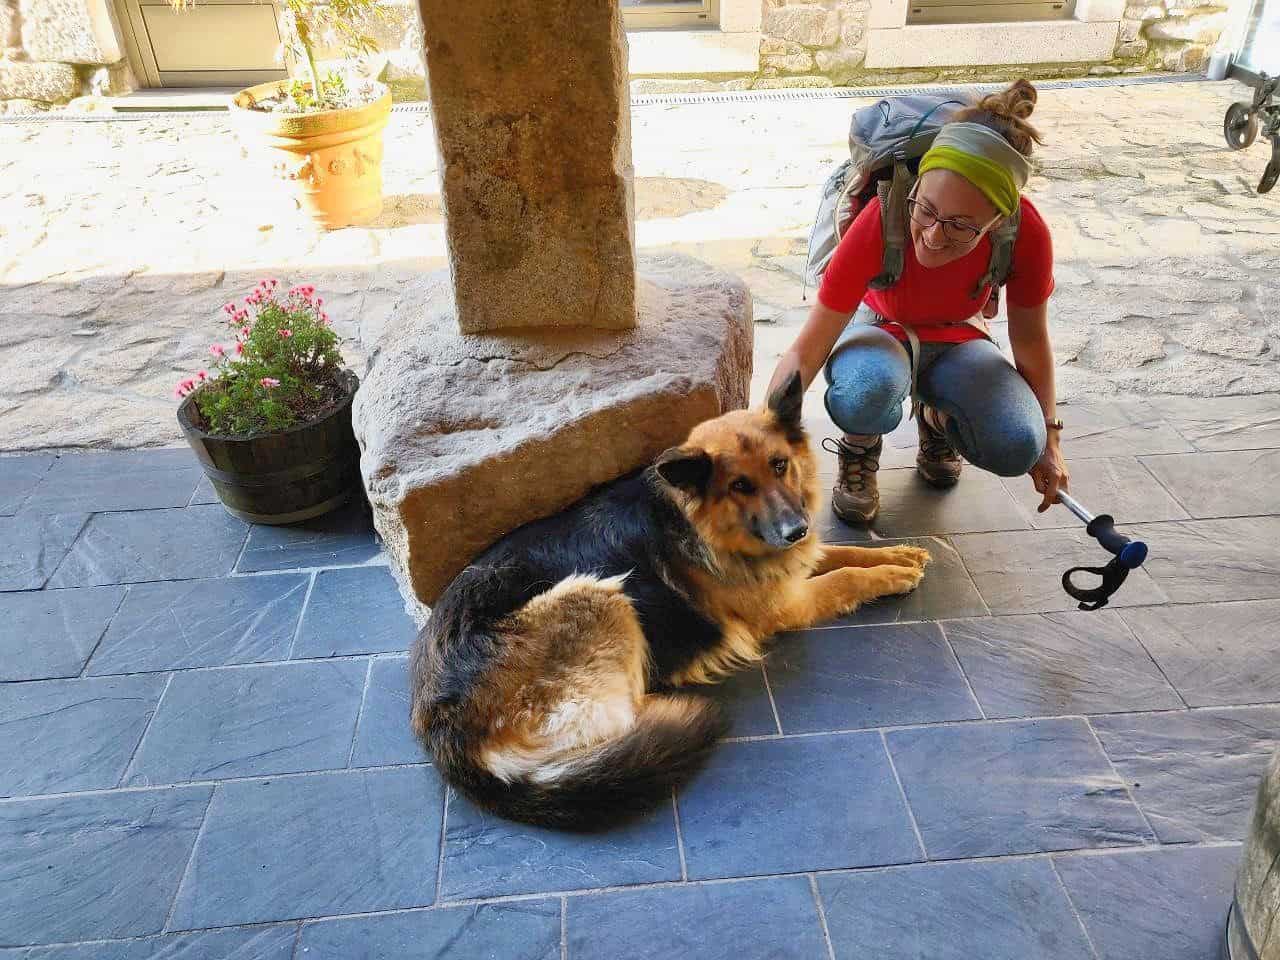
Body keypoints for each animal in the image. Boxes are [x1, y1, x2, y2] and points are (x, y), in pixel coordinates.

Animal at [409, 371, 931, 829]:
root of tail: (444, 732)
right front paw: (893, 574)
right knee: (619, 723)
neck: (697, 523)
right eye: (739, 486)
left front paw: (900, 553)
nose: (796, 529)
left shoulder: (791, 570)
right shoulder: (787, 603)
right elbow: (844, 578)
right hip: (601, 593)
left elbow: (839, 554)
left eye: (780, 465)